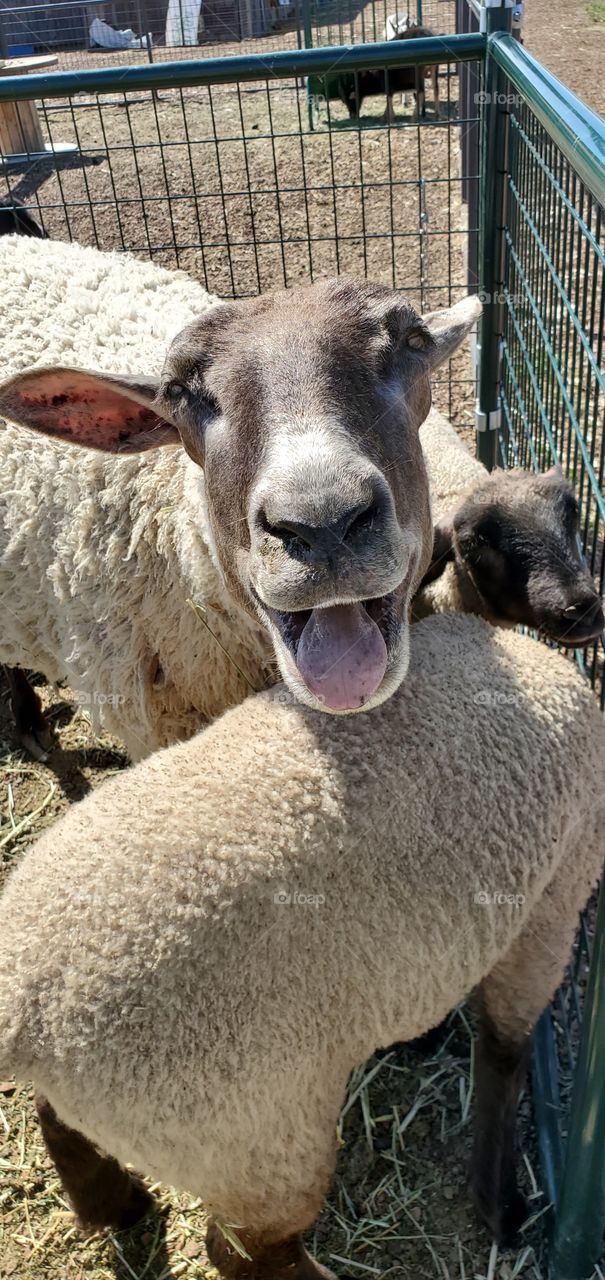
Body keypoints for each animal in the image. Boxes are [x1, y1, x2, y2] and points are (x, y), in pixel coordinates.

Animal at [1, 612, 603, 1280]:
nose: (584, 613)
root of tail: (26, 1009)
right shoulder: (556, 894)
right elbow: (504, 1052)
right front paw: (499, 1204)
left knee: (55, 1118)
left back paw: (115, 1206)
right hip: (253, 1135)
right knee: (244, 1250)